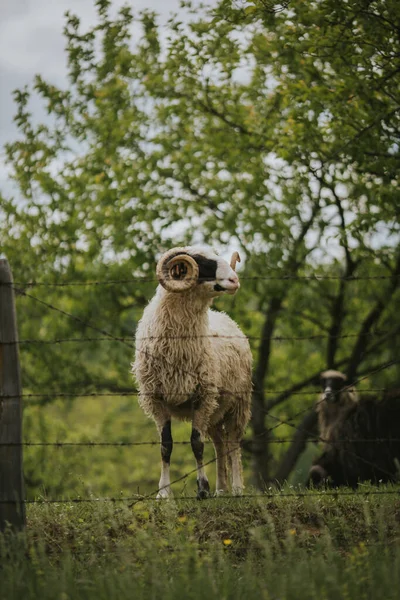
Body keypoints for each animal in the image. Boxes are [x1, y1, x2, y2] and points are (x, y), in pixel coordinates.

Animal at [134, 246, 253, 500]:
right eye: (204, 263)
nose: (235, 280)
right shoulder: (157, 400)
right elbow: (166, 445)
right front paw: (164, 493)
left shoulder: (202, 396)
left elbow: (196, 443)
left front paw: (202, 489)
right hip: (215, 410)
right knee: (219, 443)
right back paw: (221, 489)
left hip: (238, 403)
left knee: (233, 441)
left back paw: (237, 488)